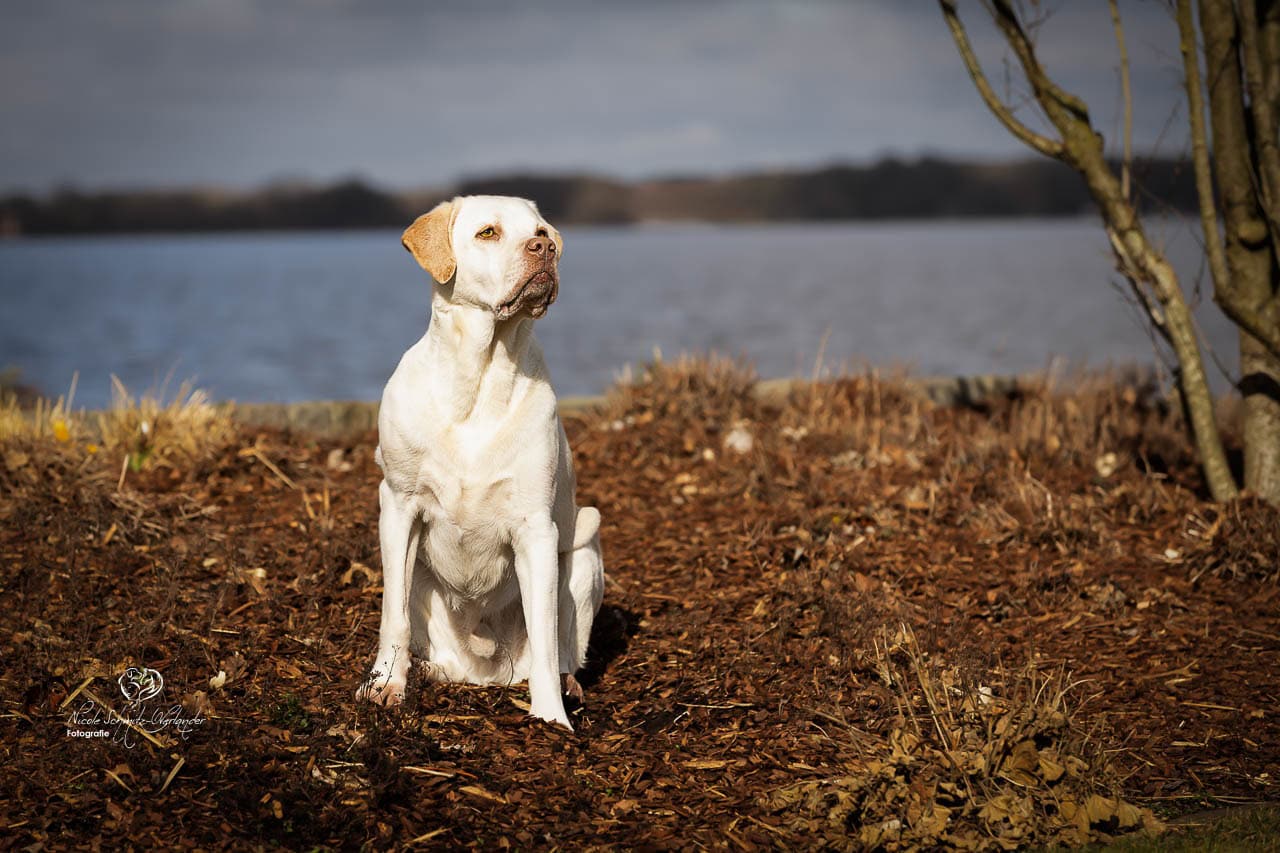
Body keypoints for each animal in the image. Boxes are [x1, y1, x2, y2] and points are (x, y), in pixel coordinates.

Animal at [355, 195, 605, 730]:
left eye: (540, 232)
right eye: (488, 232)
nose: (543, 249)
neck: (480, 376)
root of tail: (483, 674)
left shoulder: (537, 529)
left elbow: (547, 639)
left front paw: (551, 720)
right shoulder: (398, 505)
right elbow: (392, 616)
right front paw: (386, 684)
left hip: (584, 549)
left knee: (562, 648)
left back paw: (567, 686)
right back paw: (425, 670)